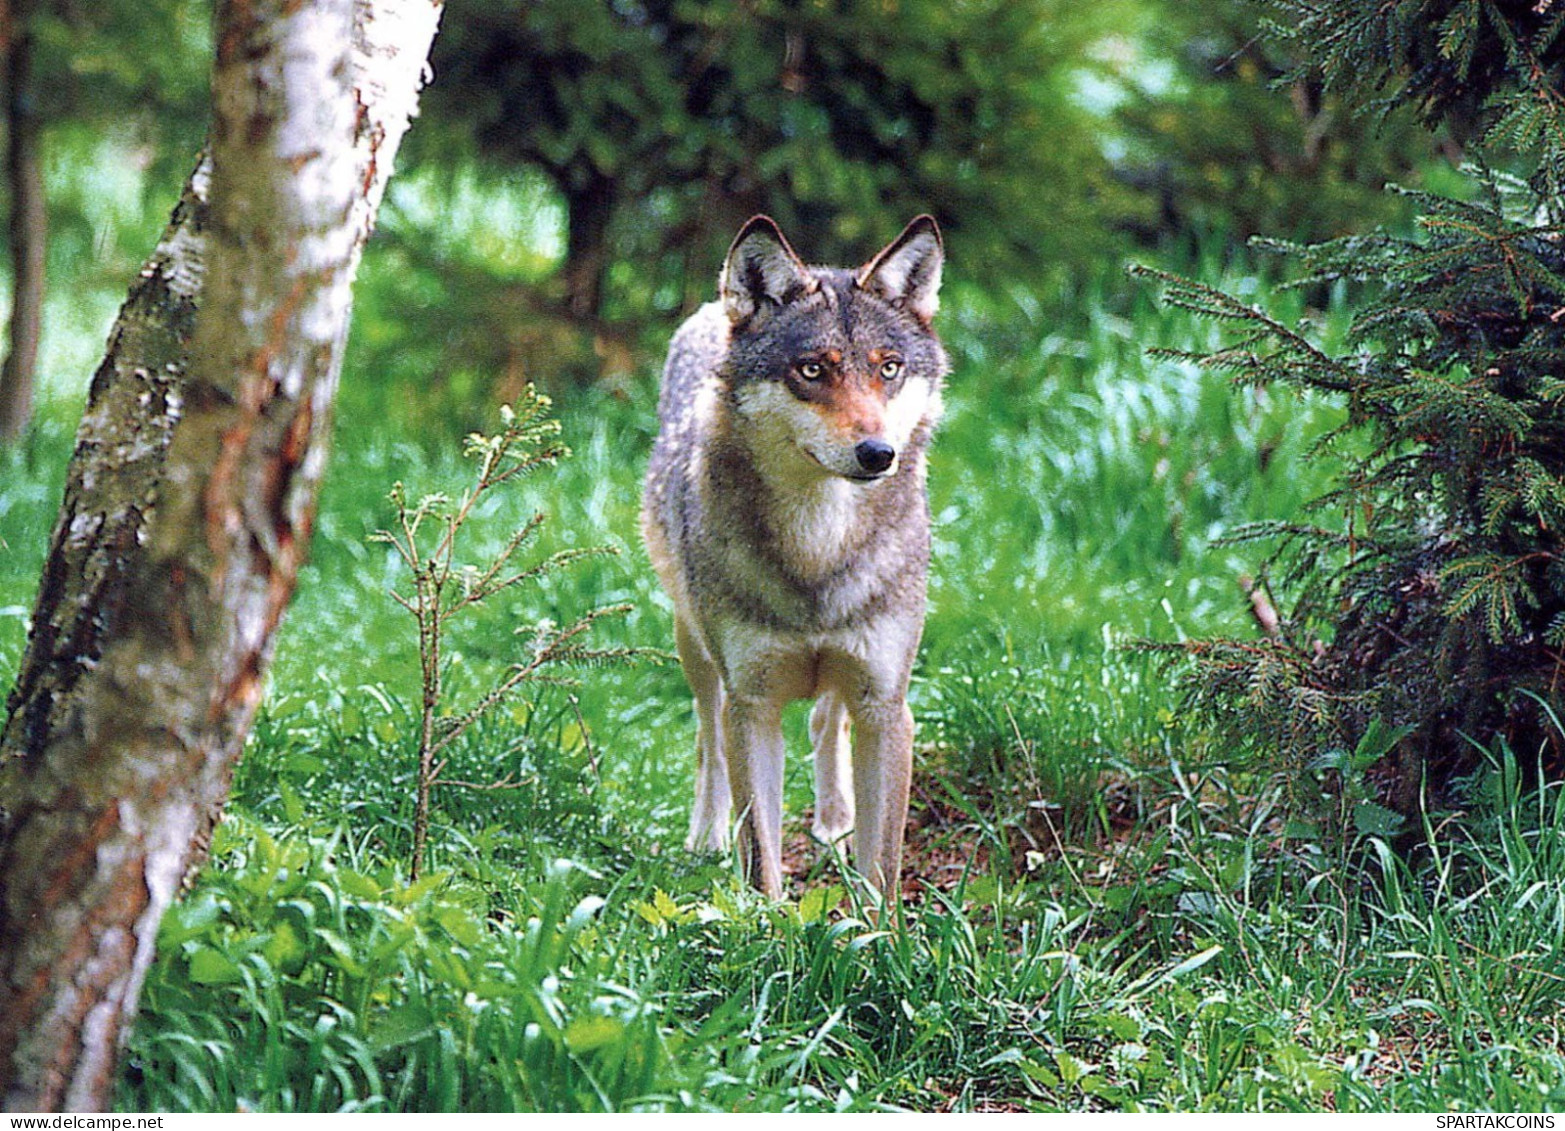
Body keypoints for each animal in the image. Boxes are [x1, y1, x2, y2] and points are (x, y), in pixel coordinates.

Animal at [638, 217, 951, 901]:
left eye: (889, 368)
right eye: (811, 370)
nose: (878, 453)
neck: (818, 549)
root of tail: (709, 311)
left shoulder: (886, 706)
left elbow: (884, 865)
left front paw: (878, 925)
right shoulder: (751, 704)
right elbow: (763, 855)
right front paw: (771, 923)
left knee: (825, 725)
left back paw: (834, 823)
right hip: (694, 649)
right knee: (707, 740)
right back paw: (707, 838)